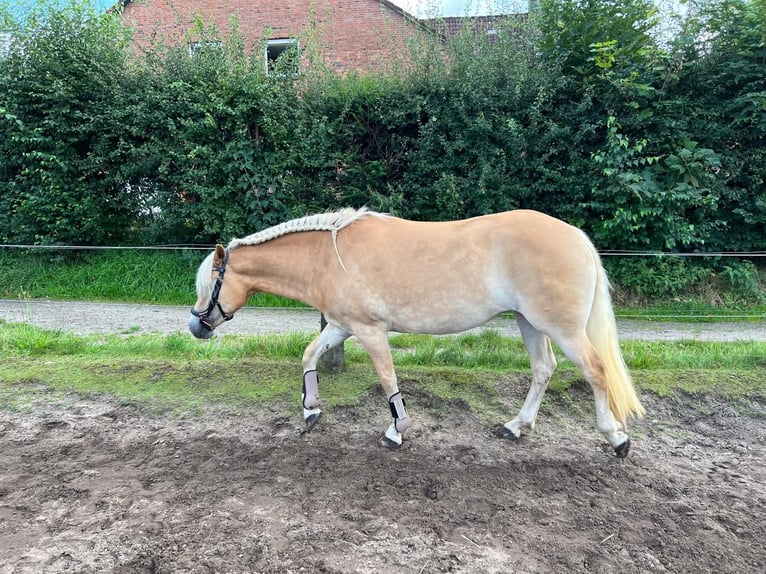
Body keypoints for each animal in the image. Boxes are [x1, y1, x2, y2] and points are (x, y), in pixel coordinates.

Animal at [189, 207, 644, 460]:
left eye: (210, 283)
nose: (195, 325)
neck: (328, 258)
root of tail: (577, 237)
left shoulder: (370, 331)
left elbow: (388, 379)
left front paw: (396, 431)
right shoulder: (341, 326)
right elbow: (309, 355)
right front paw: (311, 410)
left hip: (560, 327)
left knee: (595, 371)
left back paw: (616, 439)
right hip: (529, 321)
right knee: (543, 369)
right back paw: (516, 426)